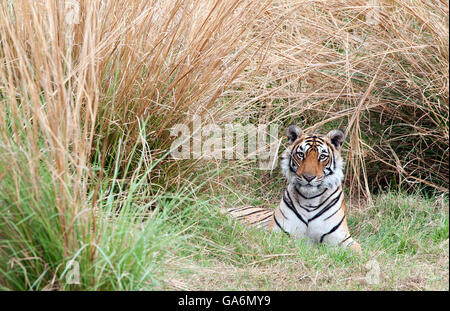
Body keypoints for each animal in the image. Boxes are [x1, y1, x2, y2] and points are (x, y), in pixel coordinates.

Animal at [229, 124, 362, 254]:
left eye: (322, 157)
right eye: (301, 155)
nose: (308, 177)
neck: (310, 200)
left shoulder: (343, 240)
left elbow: (358, 253)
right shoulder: (277, 232)